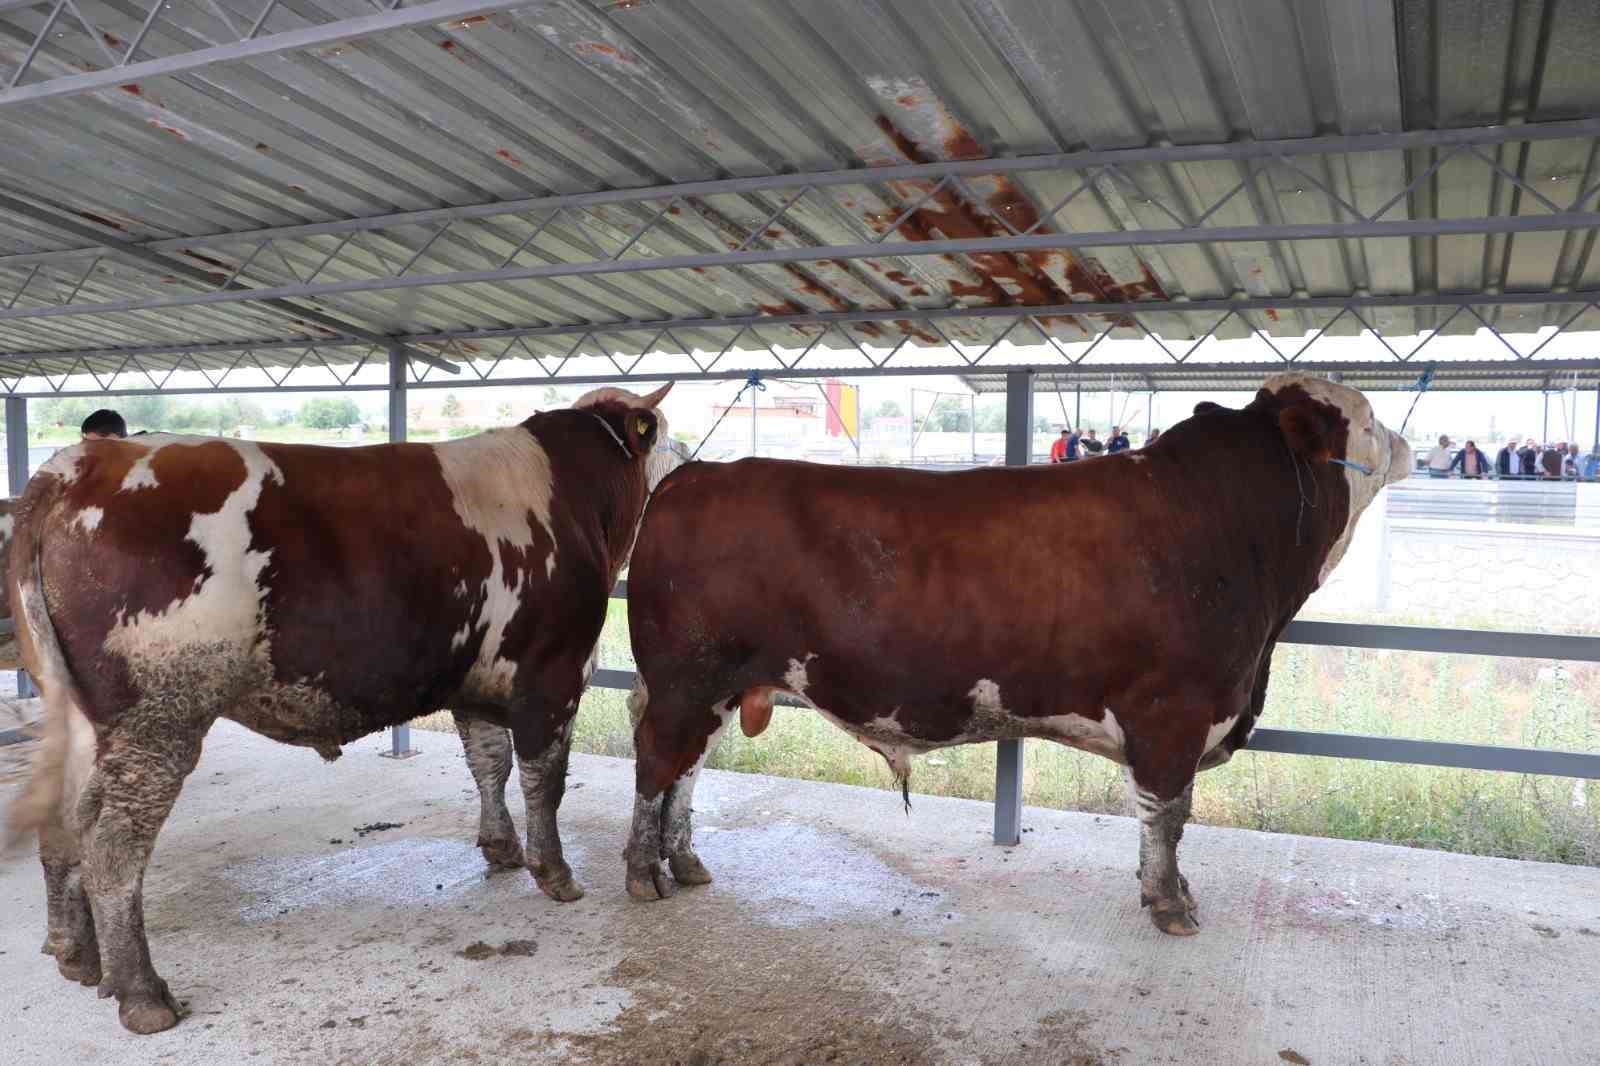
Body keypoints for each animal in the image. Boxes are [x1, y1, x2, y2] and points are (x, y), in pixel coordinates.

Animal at [0, 384, 678, 1030]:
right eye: (668, 438)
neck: (571, 494)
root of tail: (77, 465)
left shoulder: (478, 681)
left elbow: (490, 764)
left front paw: (500, 848)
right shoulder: (554, 673)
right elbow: (545, 779)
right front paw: (555, 873)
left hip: (84, 720)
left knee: (63, 823)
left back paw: (77, 955)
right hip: (158, 717)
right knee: (113, 843)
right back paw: (143, 995)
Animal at [617, 371, 1408, 928]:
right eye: (1368, 418)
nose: (1401, 442)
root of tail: (696, 472)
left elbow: (1173, 817)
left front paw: (1175, 890)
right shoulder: (1173, 709)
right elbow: (1168, 814)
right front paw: (1169, 902)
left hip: (719, 686)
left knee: (687, 770)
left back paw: (685, 861)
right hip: (685, 677)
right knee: (657, 765)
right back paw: (642, 873)